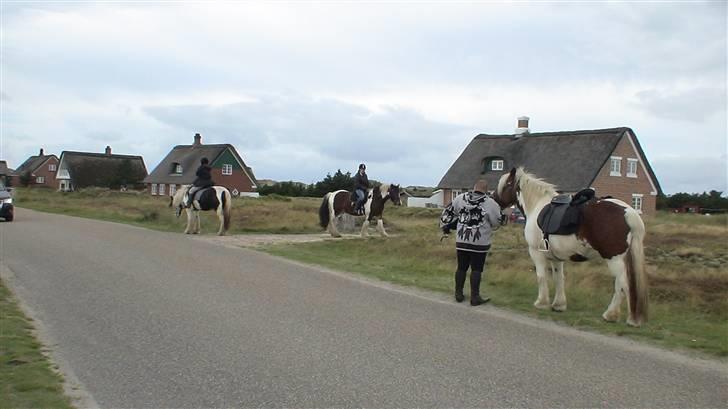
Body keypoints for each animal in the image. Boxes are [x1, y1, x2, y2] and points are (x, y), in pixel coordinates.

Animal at [494, 166, 648, 326]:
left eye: (505, 185)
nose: (494, 199)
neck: (536, 205)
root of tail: (630, 213)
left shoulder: (536, 252)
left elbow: (541, 276)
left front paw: (541, 303)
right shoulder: (555, 257)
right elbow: (559, 278)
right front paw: (558, 305)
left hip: (614, 259)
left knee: (623, 285)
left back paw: (612, 315)